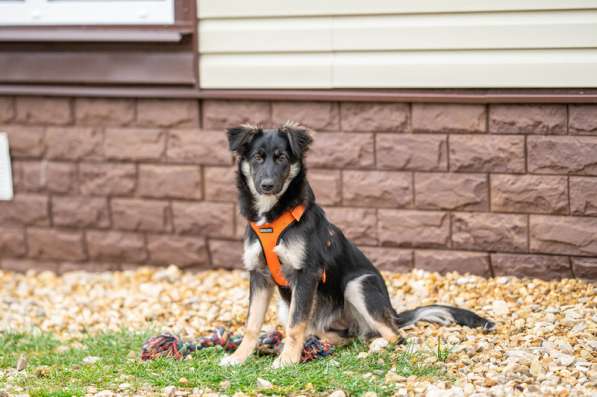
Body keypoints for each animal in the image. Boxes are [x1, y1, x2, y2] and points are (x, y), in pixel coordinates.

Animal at [219, 121, 494, 368]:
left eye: (282, 158)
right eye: (257, 157)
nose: (267, 185)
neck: (272, 218)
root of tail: (393, 312)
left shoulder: (307, 273)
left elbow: (296, 326)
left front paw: (286, 361)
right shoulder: (259, 274)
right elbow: (252, 324)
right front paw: (238, 357)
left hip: (358, 284)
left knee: (394, 336)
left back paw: (376, 345)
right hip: (290, 306)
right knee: (340, 334)